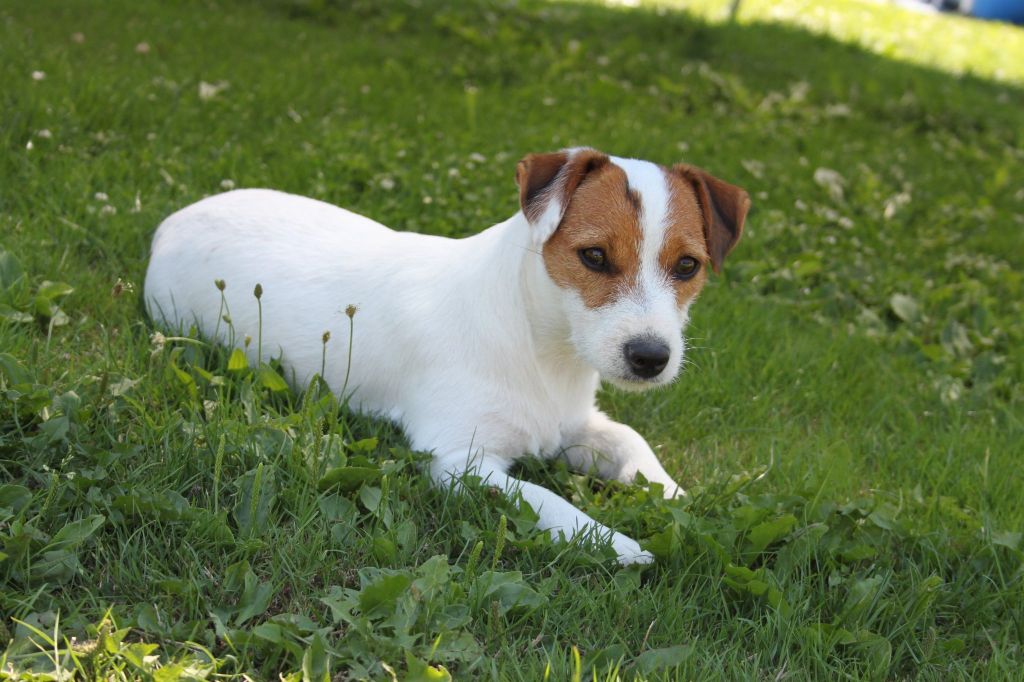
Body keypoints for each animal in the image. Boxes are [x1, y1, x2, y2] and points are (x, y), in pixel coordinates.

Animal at [144, 147, 749, 561]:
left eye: (688, 266)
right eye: (594, 256)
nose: (651, 357)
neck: (540, 348)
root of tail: (171, 221)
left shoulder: (576, 424)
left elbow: (632, 443)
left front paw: (678, 496)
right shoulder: (459, 460)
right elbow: (546, 499)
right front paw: (615, 542)